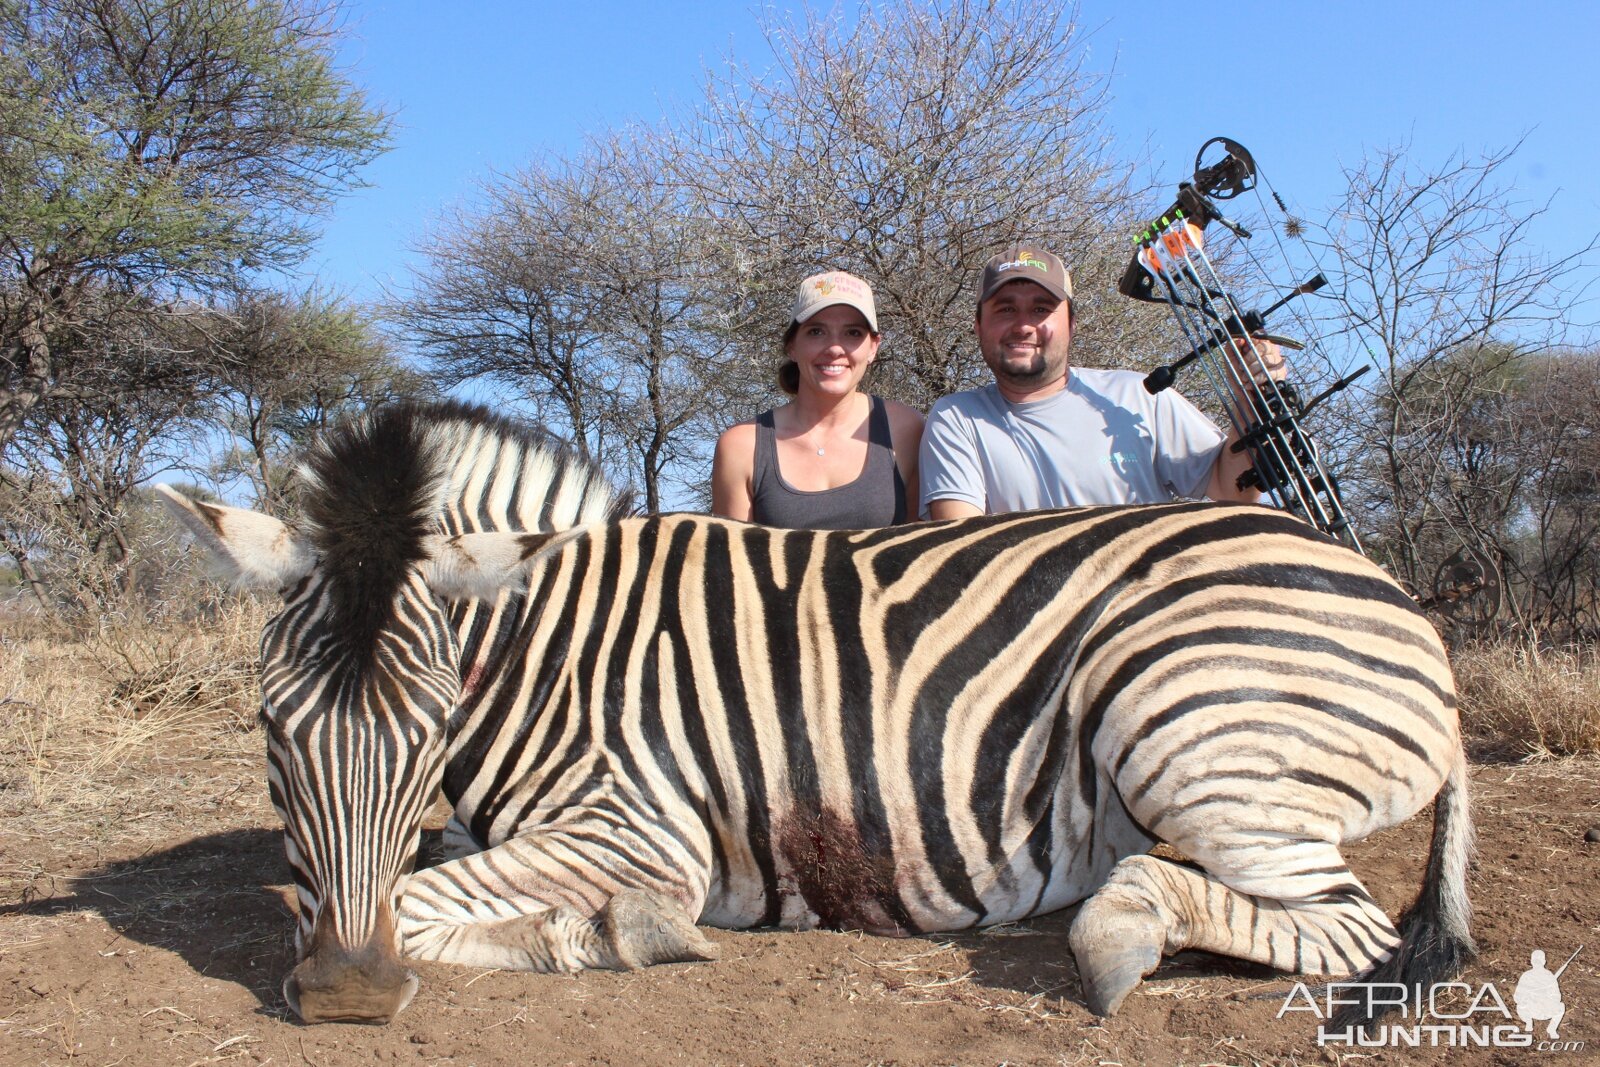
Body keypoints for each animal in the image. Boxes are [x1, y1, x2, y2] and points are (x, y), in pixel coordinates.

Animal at [157, 399, 1473, 1026]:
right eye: (271, 728)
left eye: (430, 725)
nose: (347, 998)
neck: (548, 646)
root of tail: (1394, 596)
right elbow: (406, 878)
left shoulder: (644, 828)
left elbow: (429, 898)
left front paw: (623, 930)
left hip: (1181, 721)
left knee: (1348, 925)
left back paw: (1116, 931)